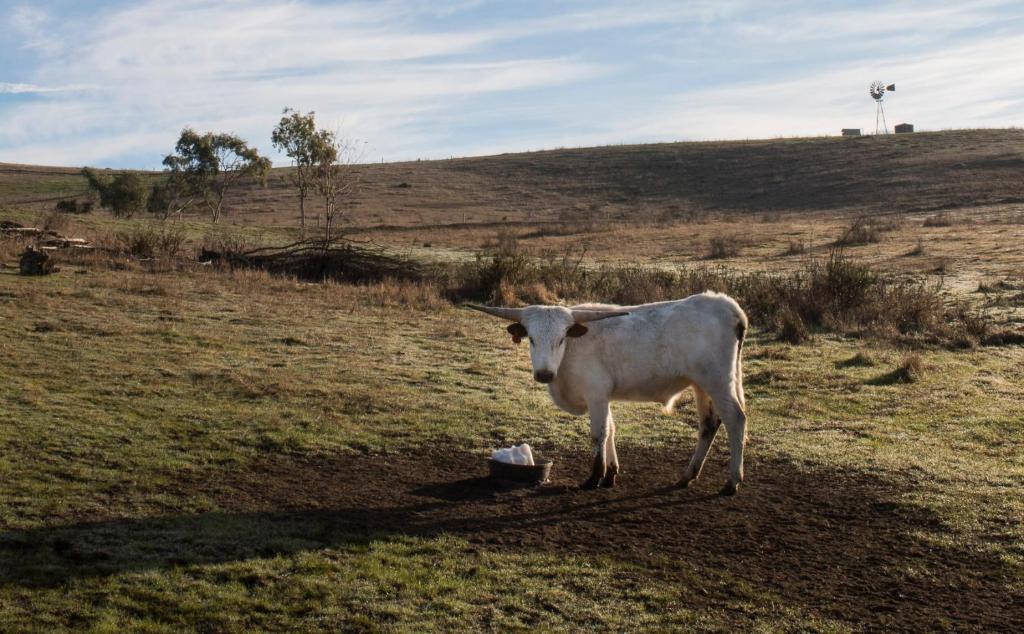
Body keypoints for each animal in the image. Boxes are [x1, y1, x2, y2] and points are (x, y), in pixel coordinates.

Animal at [468, 292, 749, 495]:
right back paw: (687, 476)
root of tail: (725, 304)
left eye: (561, 339)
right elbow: (612, 429)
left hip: (718, 382)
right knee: (709, 424)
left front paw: (594, 477)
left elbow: (599, 433)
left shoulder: (596, 395)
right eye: (532, 339)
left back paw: (732, 481)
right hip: (701, 385)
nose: (544, 374)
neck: (571, 352)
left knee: (735, 419)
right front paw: (611, 474)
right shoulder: (603, 396)